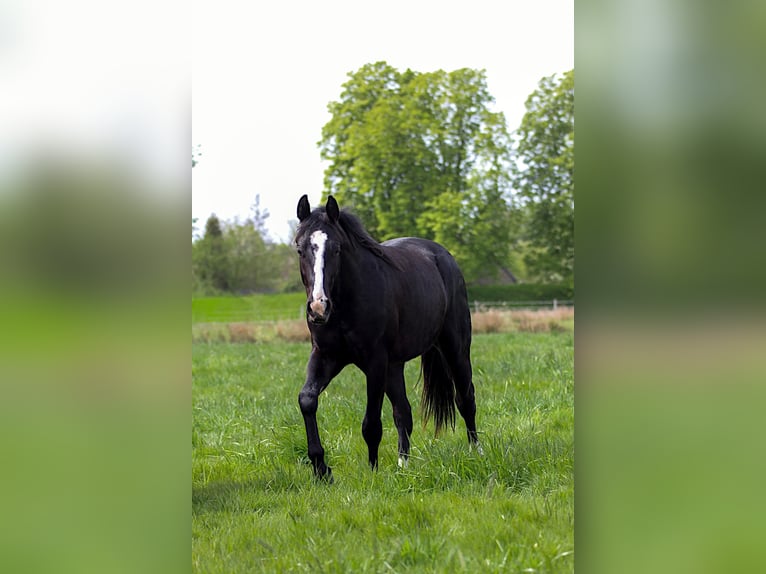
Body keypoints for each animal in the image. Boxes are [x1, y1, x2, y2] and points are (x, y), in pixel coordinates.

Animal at [294, 194, 480, 481]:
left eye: (336, 249)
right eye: (300, 249)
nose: (318, 307)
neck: (346, 304)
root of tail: (443, 256)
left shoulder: (375, 362)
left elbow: (371, 423)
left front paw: (372, 472)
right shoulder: (325, 356)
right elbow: (307, 400)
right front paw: (321, 469)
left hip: (455, 349)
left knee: (466, 398)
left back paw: (476, 453)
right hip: (395, 366)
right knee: (404, 412)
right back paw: (404, 465)